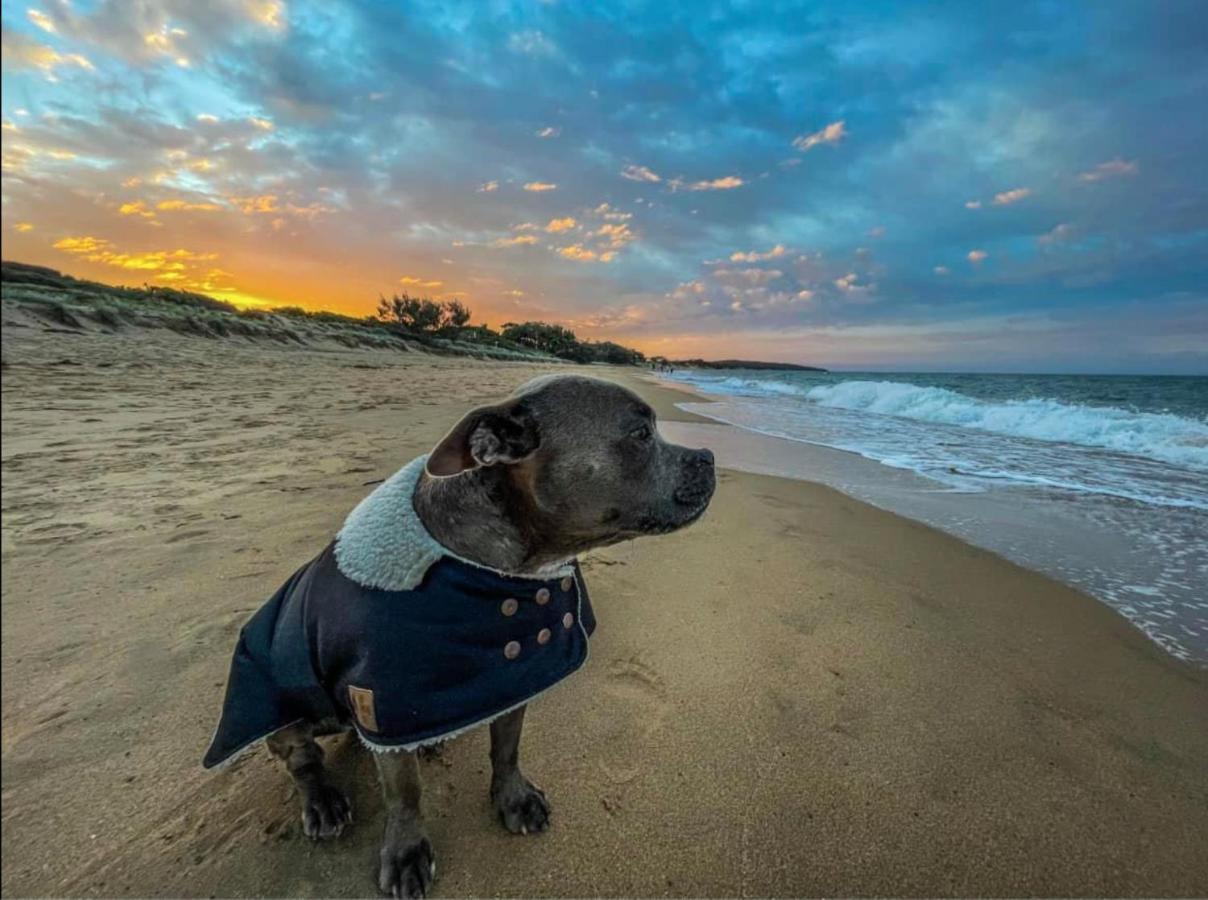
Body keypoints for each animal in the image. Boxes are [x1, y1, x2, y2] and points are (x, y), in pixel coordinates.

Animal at [205, 372, 715, 893]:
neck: (504, 568)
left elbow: (506, 748)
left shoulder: (513, 677)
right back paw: (323, 800)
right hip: (285, 710)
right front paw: (407, 851)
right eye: (640, 435)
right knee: (303, 761)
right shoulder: (381, 704)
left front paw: (513, 798)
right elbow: (405, 793)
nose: (710, 457)